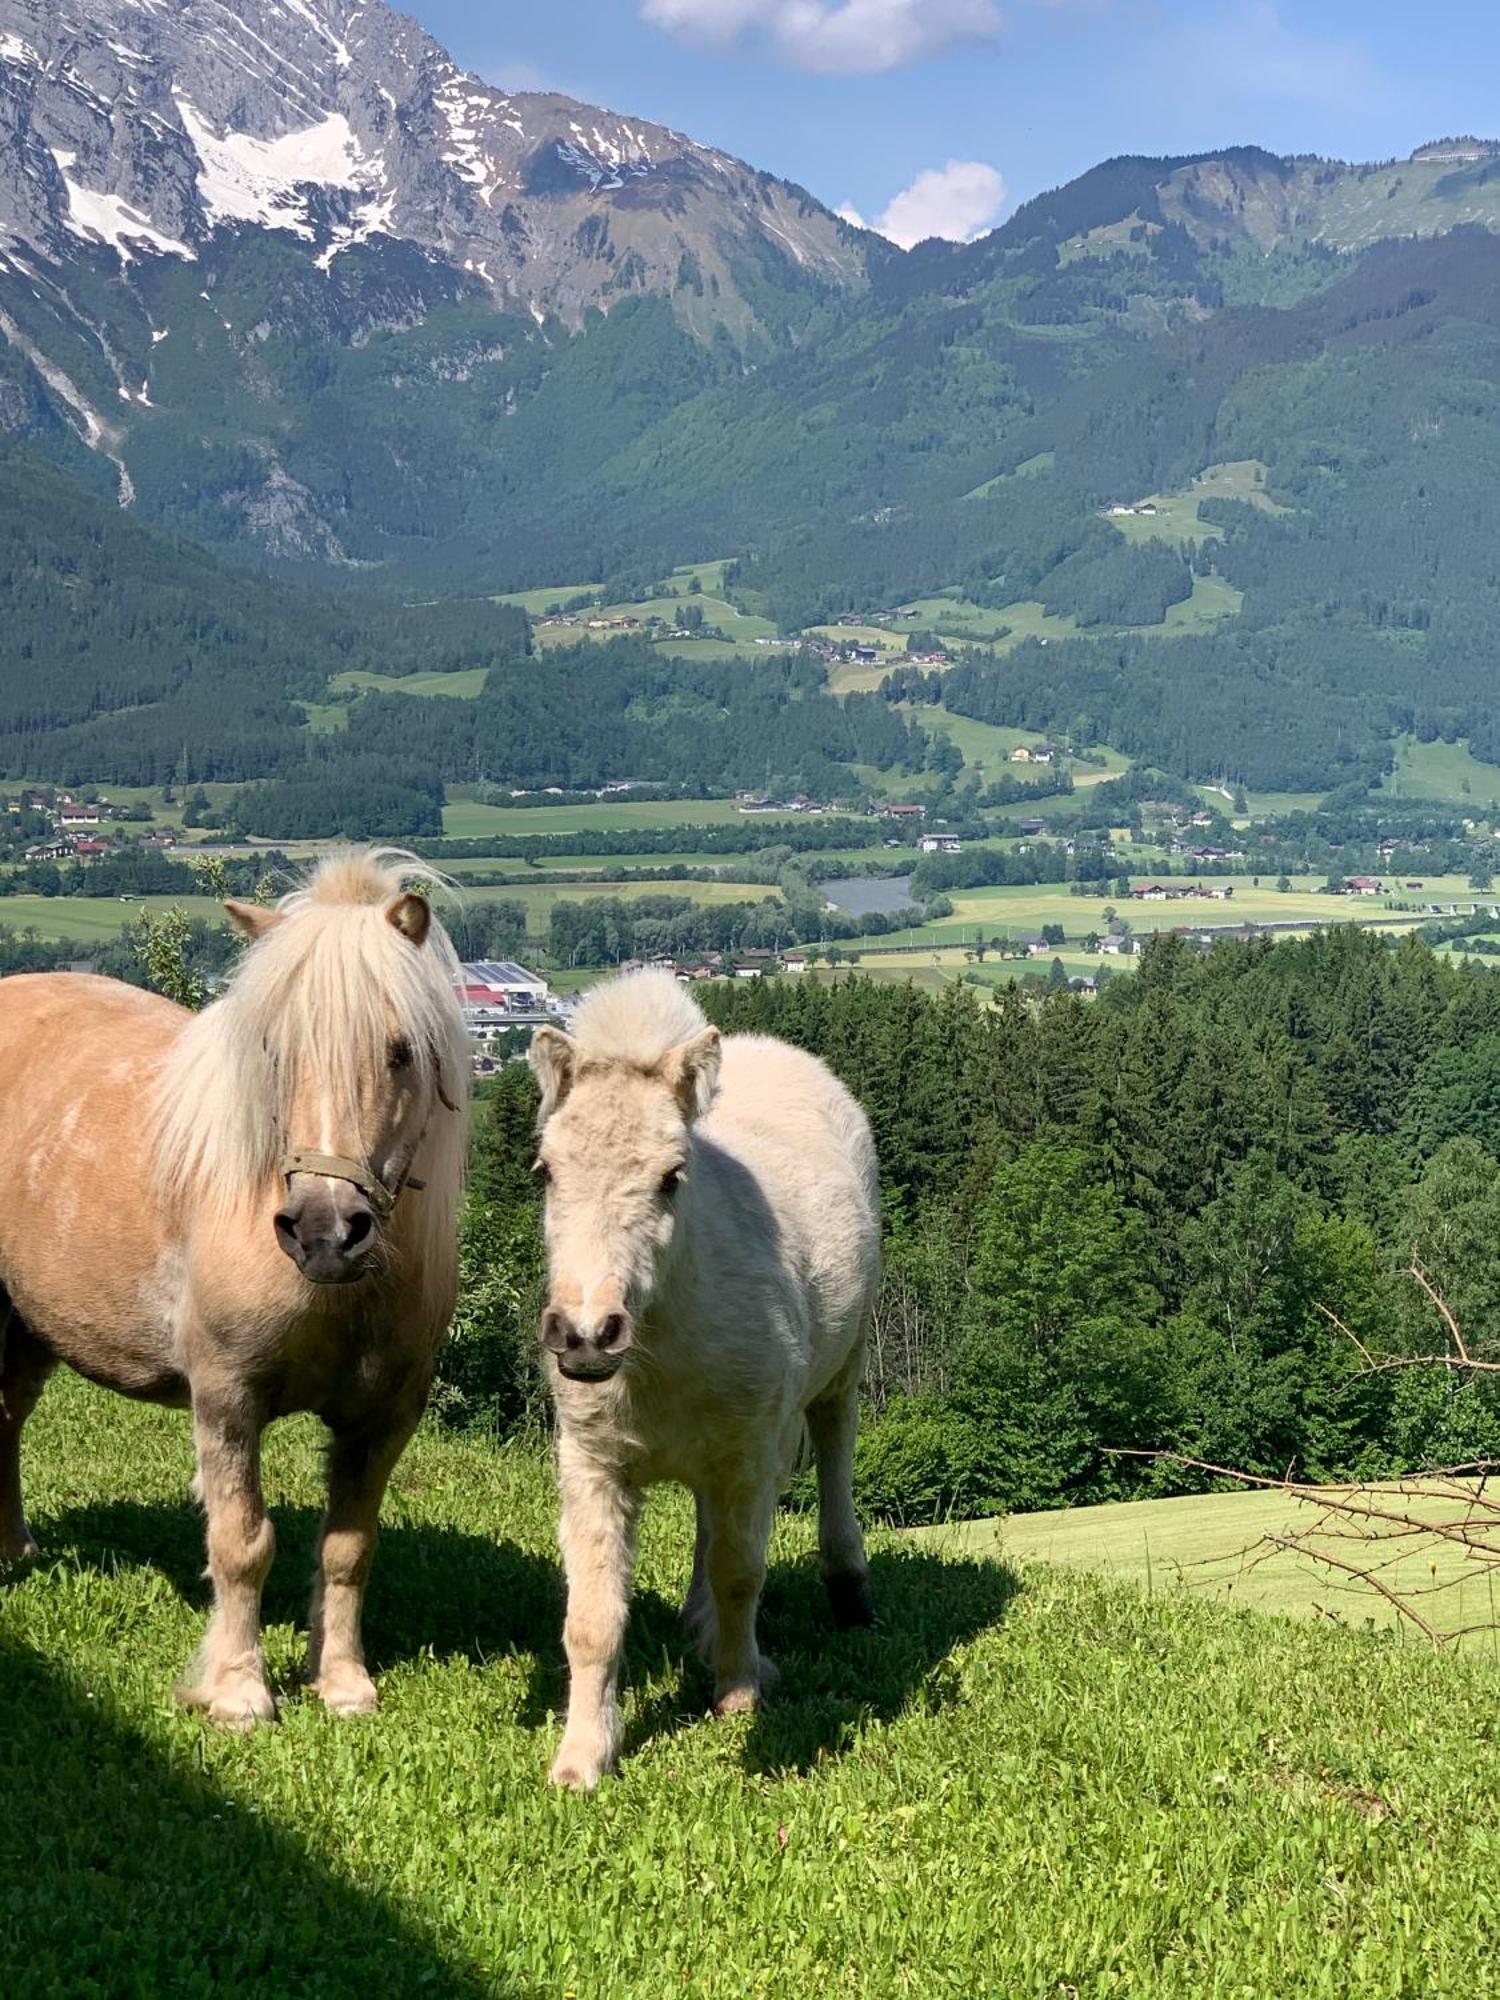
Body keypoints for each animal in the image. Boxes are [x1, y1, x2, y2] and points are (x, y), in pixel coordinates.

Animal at [0, 852, 468, 1728]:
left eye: (400, 1051)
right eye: (274, 1052)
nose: (325, 1230)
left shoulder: (385, 1414)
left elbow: (349, 1547)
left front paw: (342, 1681)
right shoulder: (226, 1397)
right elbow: (242, 1542)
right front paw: (240, 1689)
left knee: (5, 1420)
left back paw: (14, 1549)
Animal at [532, 964, 880, 1784]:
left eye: (671, 1177)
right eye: (545, 1170)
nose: (585, 1333)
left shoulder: (750, 1453)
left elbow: (741, 1572)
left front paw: (740, 1690)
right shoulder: (592, 1465)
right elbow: (592, 1615)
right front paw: (582, 1758)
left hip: (840, 1368)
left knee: (834, 1447)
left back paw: (847, 1591)